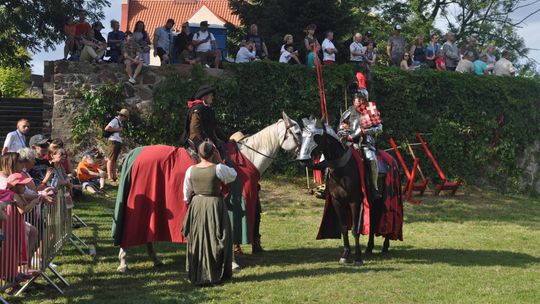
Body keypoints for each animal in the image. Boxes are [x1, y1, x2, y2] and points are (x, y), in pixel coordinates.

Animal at [117, 113, 304, 272]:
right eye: (297, 132)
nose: (304, 157)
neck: (246, 158)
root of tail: (134, 154)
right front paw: (233, 264)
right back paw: (123, 263)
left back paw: (155, 260)